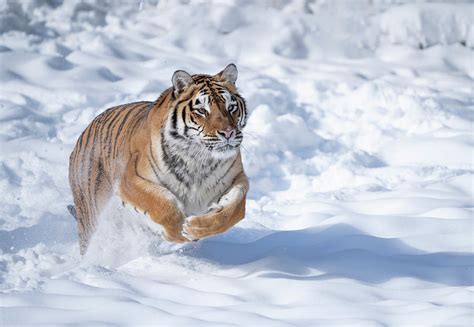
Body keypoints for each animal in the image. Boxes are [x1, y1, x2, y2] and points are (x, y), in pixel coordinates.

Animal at [70, 62, 250, 255]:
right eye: (202, 110)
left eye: (231, 107)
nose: (228, 133)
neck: (199, 159)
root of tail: (88, 128)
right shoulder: (131, 179)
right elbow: (164, 204)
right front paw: (180, 231)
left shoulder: (238, 178)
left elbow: (233, 210)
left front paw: (196, 228)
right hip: (91, 211)